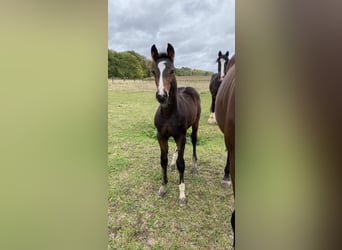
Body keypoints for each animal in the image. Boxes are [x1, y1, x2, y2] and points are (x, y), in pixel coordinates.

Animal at [151, 43, 202, 207]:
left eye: (172, 70)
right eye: (153, 71)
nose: (161, 96)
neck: (168, 113)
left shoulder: (181, 135)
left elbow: (181, 163)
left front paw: (182, 195)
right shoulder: (161, 135)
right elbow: (163, 160)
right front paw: (163, 187)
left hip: (195, 124)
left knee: (193, 141)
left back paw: (194, 166)